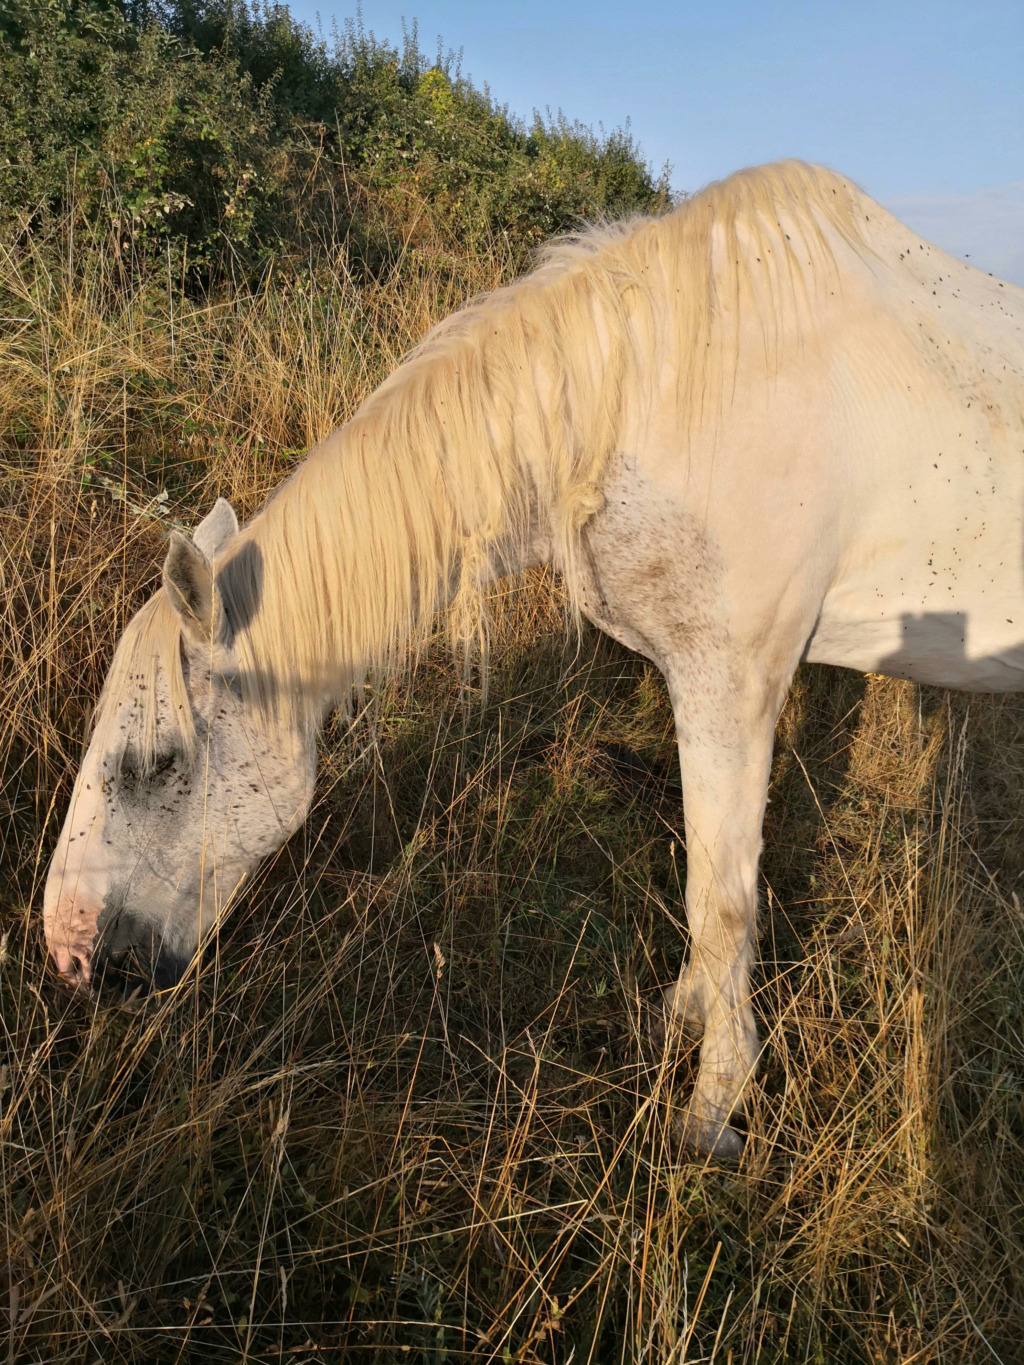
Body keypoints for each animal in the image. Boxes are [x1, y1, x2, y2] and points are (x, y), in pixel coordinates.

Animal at [44, 165, 1024, 1157]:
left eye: (156, 761)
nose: (68, 954)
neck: (665, 387)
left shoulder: (734, 684)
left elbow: (722, 900)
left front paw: (711, 1111)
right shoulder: (699, 686)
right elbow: (706, 877)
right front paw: (683, 1018)